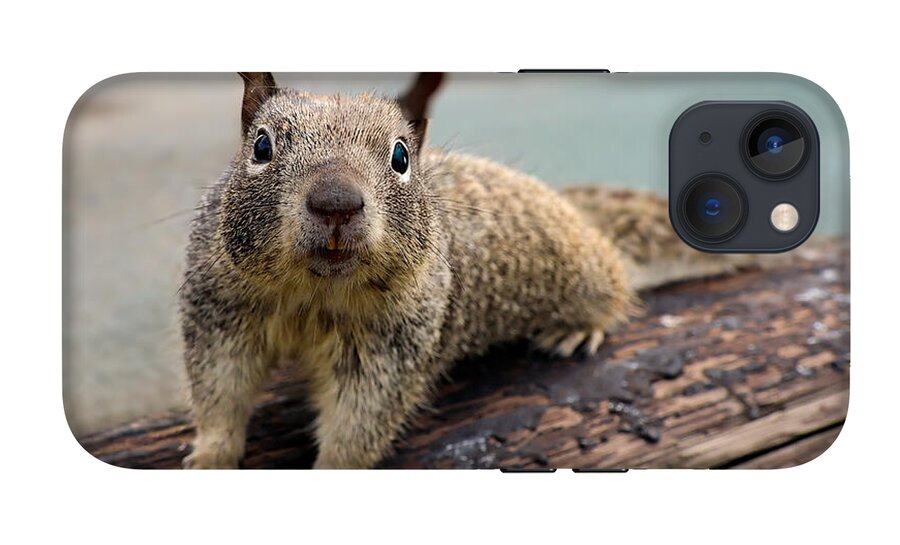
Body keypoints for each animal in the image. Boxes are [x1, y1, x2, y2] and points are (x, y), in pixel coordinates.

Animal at [180, 72, 748, 468]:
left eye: (401, 157)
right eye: (261, 146)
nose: (336, 203)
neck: (315, 293)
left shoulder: (393, 346)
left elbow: (358, 422)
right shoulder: (221, 312)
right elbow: (220, 392)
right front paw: (209, 457)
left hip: (586, 271)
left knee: (614, 287)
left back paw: (578, 327)